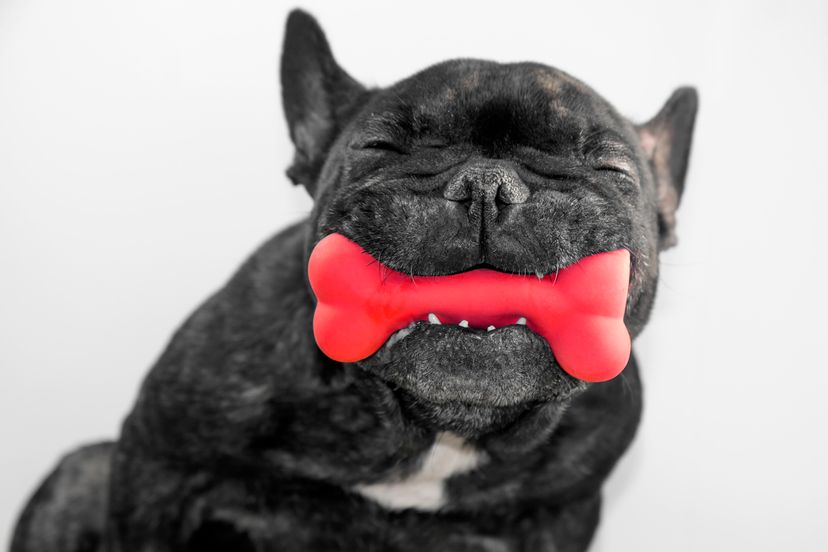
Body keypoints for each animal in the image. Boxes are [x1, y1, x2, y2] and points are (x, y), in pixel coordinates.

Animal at [12, 9, 700, 552]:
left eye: (610, 170)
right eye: (379, 148)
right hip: (83, 471)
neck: (435, 427)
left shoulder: (559, 515)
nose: (487, 185)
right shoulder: (160, 466)